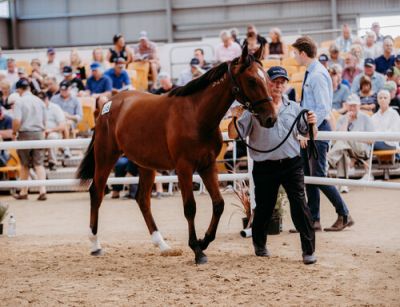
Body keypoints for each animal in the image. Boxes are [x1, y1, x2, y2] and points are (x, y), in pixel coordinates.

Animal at [76, 43, 276, 264]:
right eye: (251, 80)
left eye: (266, 79)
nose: (271, 118)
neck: (196, 114)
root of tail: (107, 105)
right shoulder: (184, 168)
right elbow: (190, 207)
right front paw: (197, 250)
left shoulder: (207, 166)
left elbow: (218, 204)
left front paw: (204, 241)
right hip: (106, 157)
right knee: (97, 193)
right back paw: (95, 245)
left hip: (145, 165)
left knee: (142, 200)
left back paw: (162, 245)